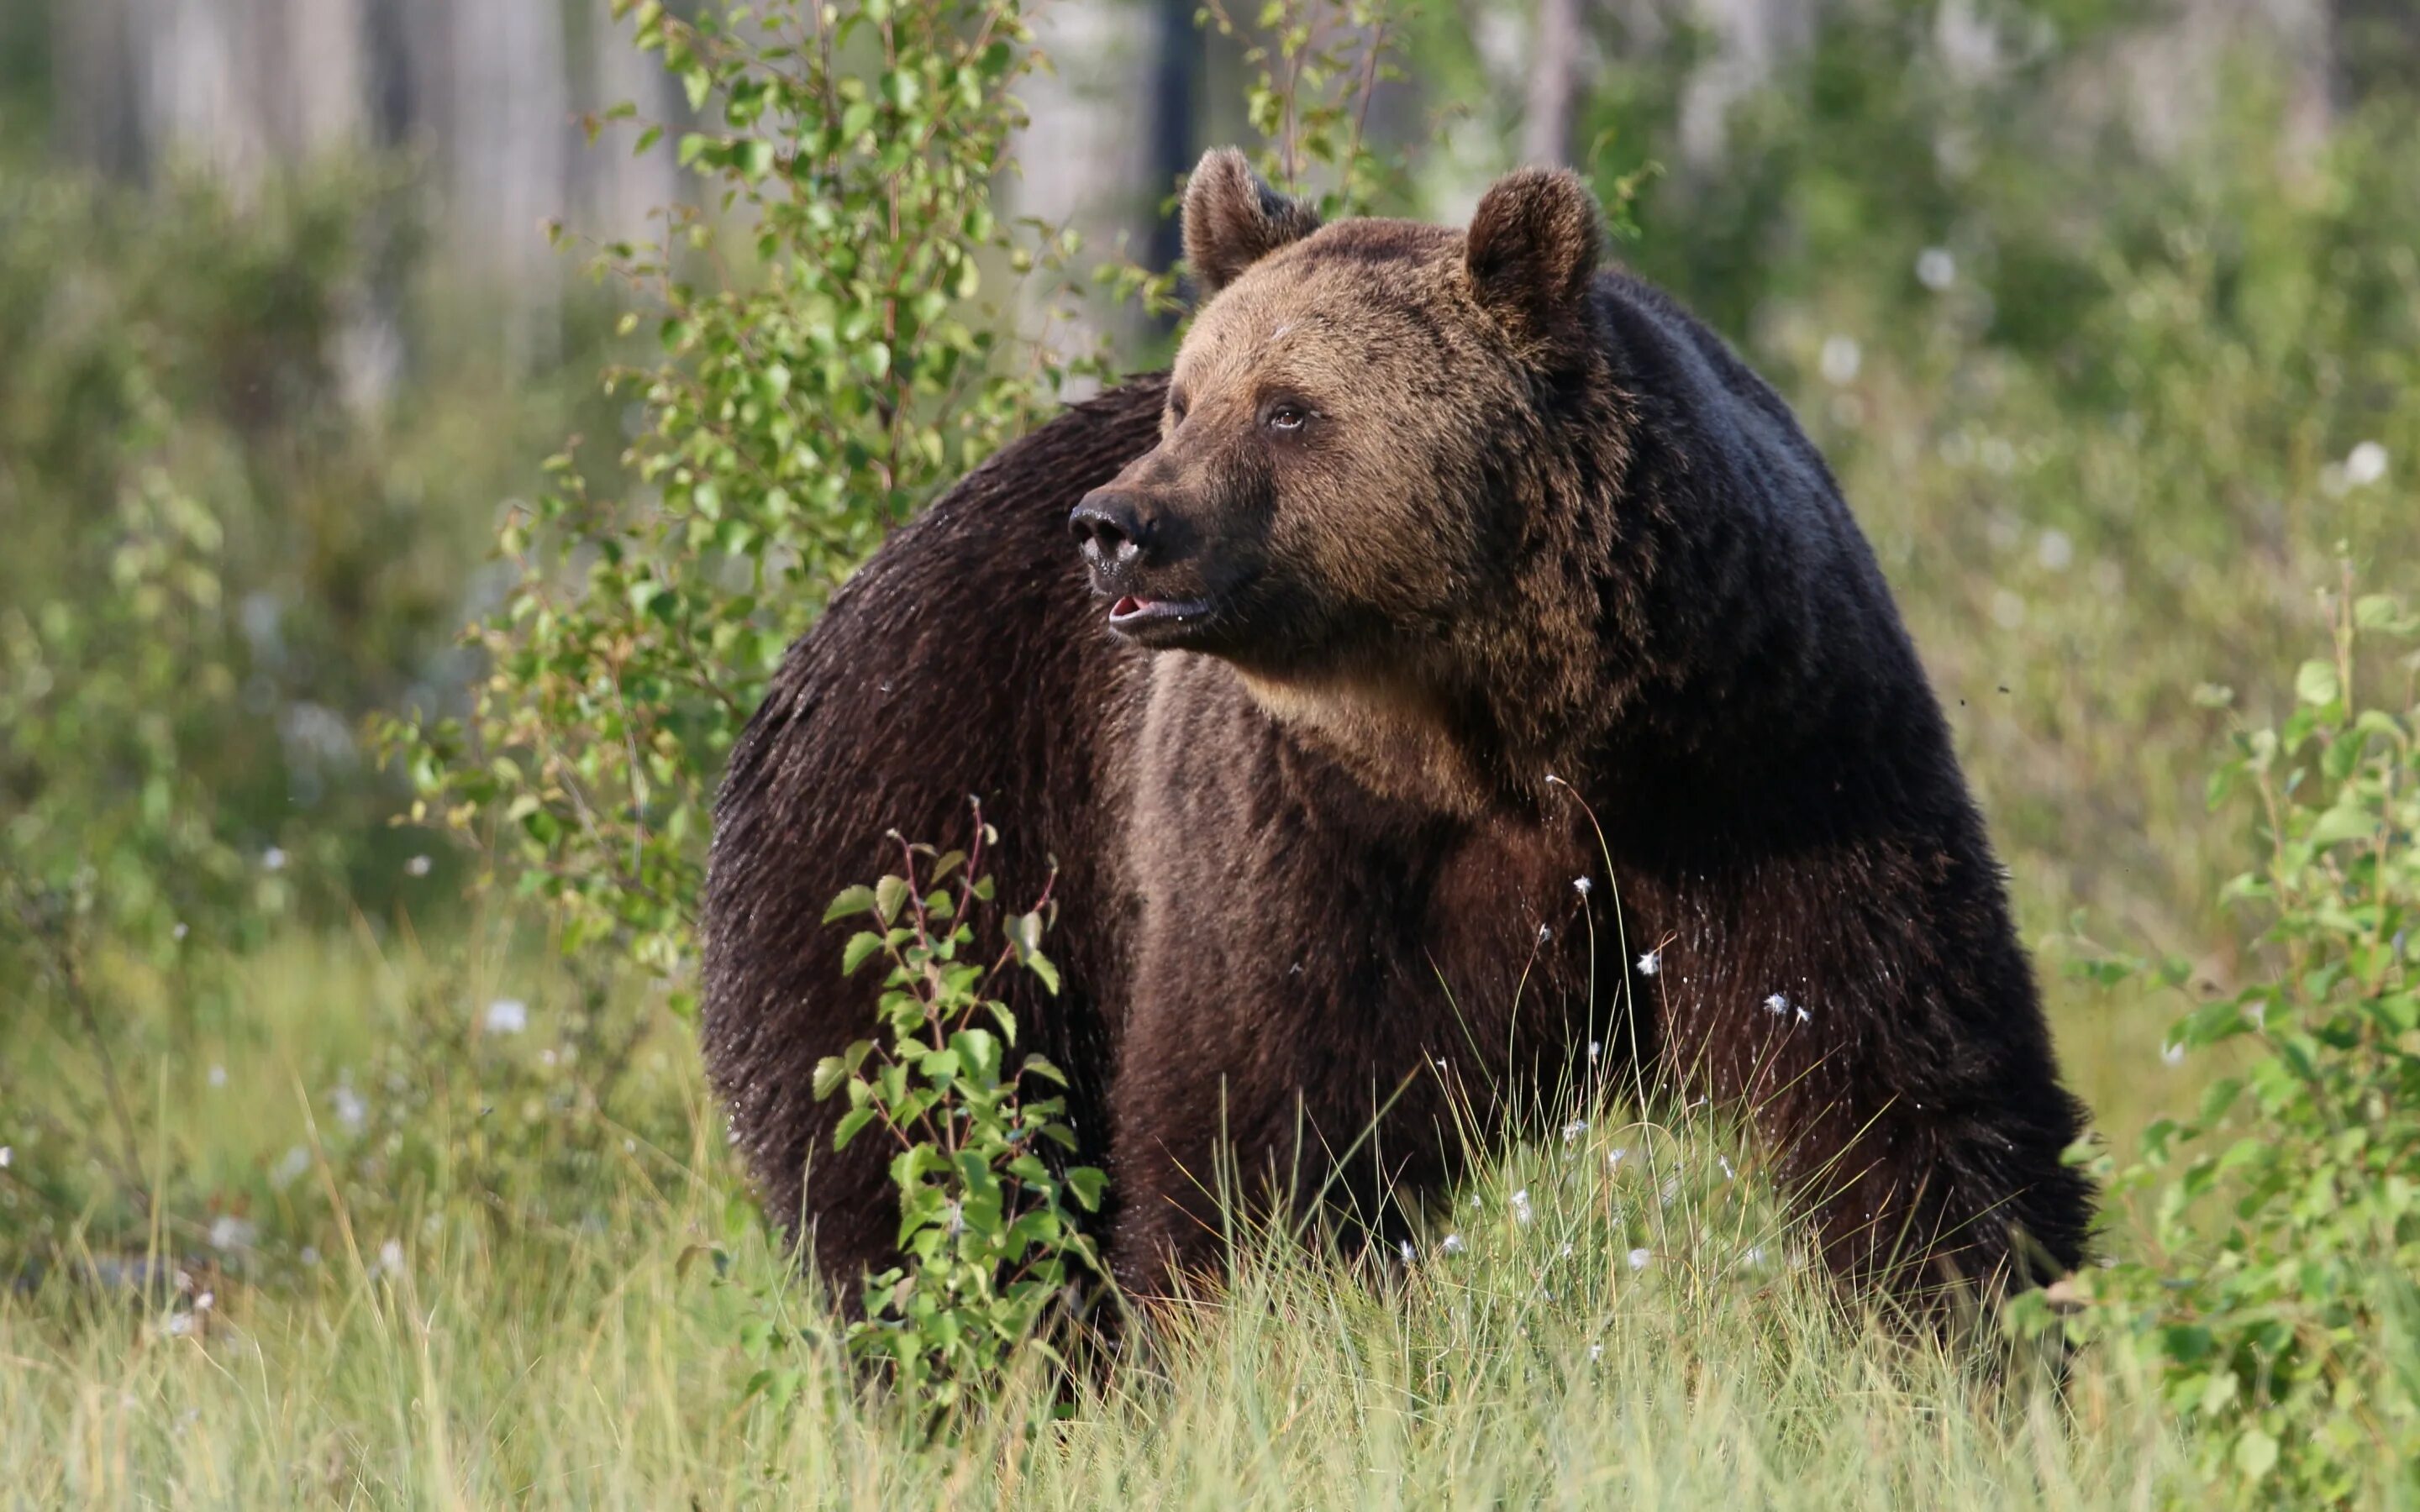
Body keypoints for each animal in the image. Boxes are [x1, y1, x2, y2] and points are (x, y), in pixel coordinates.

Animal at [697, 155, 2081, 1306]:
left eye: (1287, 408)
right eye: (1186, 400)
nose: (1115, 527)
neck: (1520, 734)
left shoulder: (1775, 765)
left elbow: (1903, 1070)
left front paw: (1968, 1323)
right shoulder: (1308, 825)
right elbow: (1261, 1126)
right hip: (934, 840)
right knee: (936, 1166)